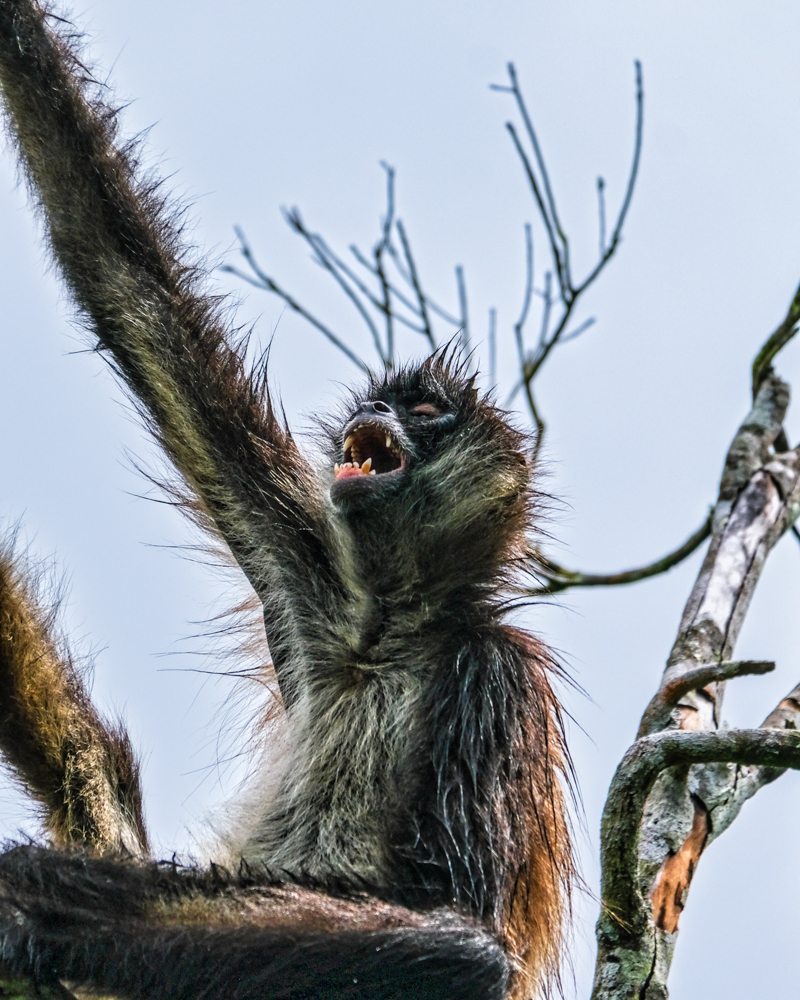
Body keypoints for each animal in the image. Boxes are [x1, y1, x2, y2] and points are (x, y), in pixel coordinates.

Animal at [0, 3, 572, 996]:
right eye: (379, 403)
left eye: (425, 411)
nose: (378, 415)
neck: (385, 635)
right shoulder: (312, 587)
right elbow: (120, 278)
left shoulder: (495, 673)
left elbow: (468, 942)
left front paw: (44, 903)